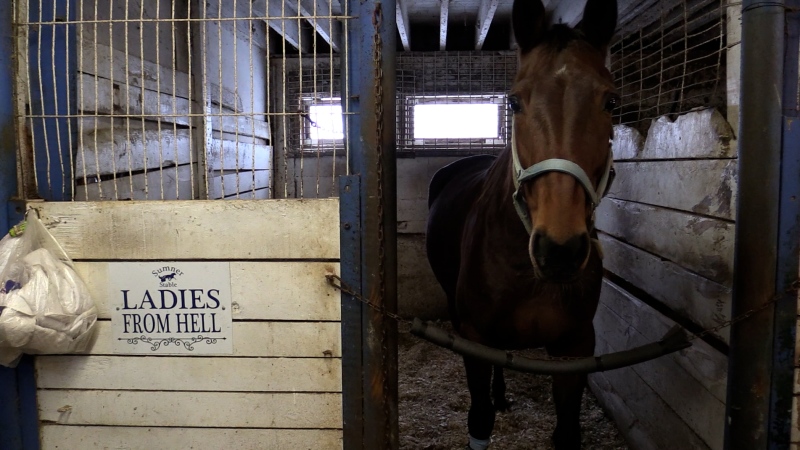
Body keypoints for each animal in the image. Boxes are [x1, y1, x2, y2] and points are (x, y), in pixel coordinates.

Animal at [424, 1, 620, 448]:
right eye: (514, 102)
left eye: (610, 101)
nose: (560, 251)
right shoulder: (476, 338)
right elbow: (479, 419)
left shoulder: (575, 347)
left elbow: (567, 431)